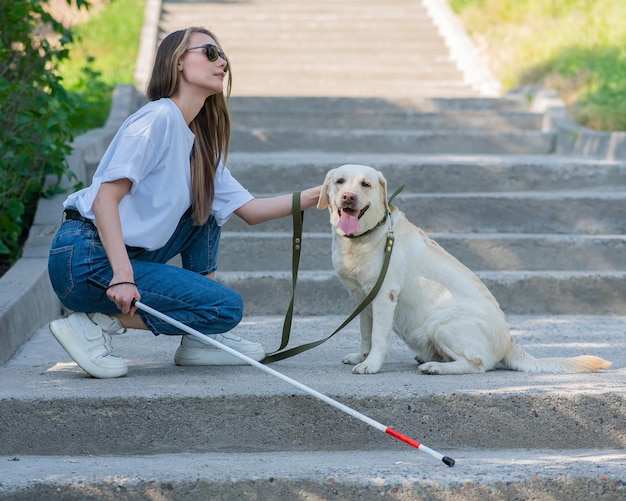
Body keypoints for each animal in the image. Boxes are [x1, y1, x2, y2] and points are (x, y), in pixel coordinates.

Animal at [316, 164, 608, 376]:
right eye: (340, 181)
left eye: (366, 184)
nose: (348, 197)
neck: (366, 237)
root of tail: (509, 341)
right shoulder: (362, 298)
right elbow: (366, 334)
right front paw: (361, 355)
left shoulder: (384, 296)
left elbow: (378, 337)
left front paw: (371, 364)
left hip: (441, 319)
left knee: (477, 365)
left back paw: (434, 366)